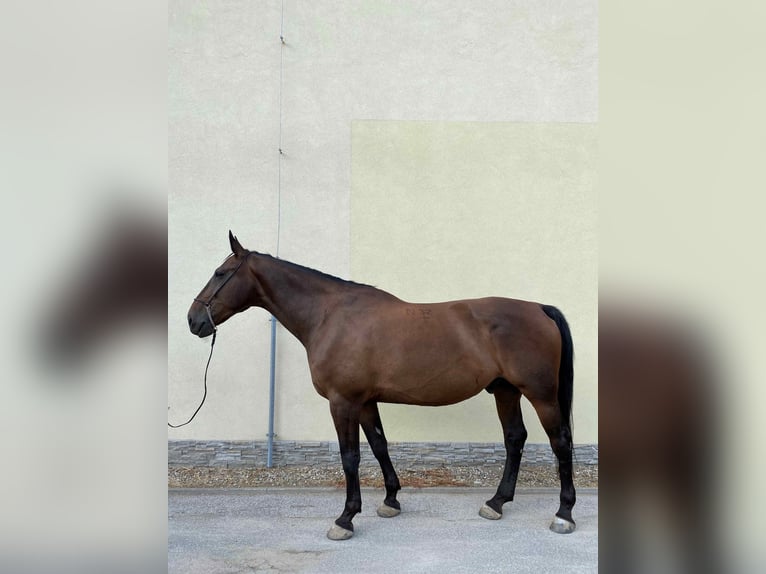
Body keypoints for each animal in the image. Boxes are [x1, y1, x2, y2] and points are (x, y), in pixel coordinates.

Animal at [188, 232, 576, 544]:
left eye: (220, 273)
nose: (193, 320)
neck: (331, 316)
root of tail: (539, 309)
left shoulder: (342, 402)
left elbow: (350, 457)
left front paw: (345, 519)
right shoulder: (364, 402)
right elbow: (378, 445)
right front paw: (390, 501)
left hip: (541, 395)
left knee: (560, 442)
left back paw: (564, 514)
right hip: (506, 391)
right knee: (514, 438)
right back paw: (496, 502)